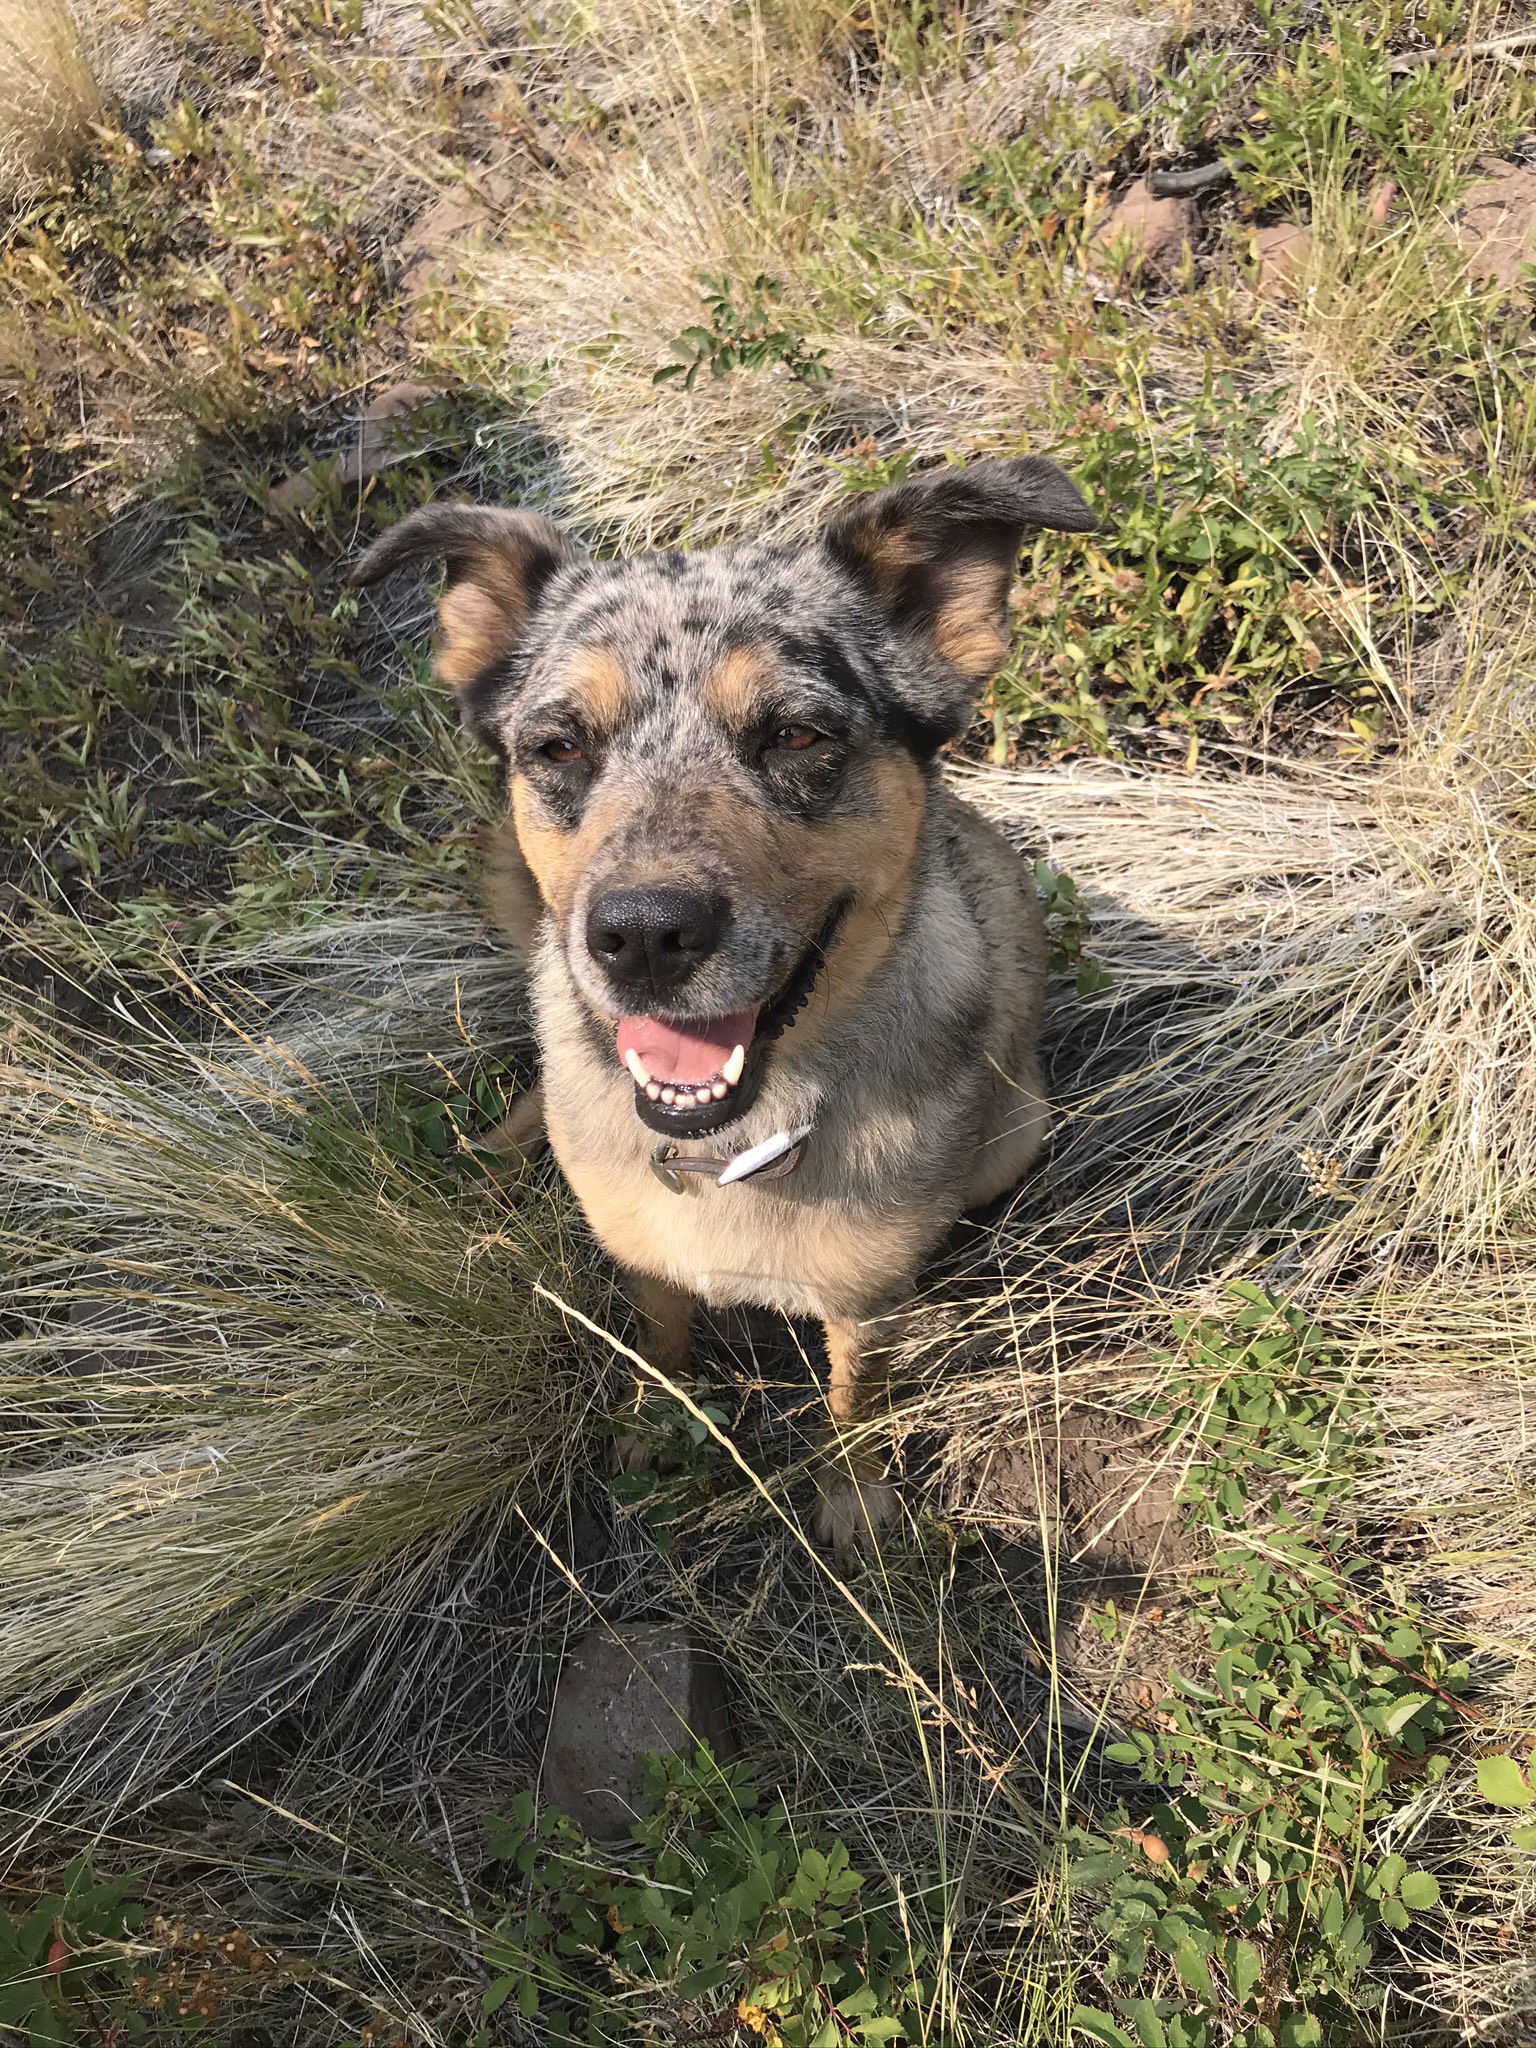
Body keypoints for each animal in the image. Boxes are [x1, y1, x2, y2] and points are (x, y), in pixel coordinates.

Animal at [352, 460, 1097, 1548]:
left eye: (797, 734)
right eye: (559, 747)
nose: (641, 937)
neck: (733, 1144)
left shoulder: (864, 1296)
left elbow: (855, 1397)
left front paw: (852, 1494)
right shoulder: (648, 1260)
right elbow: (660, 1344)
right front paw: (651, 1429)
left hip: (1018, 1132)